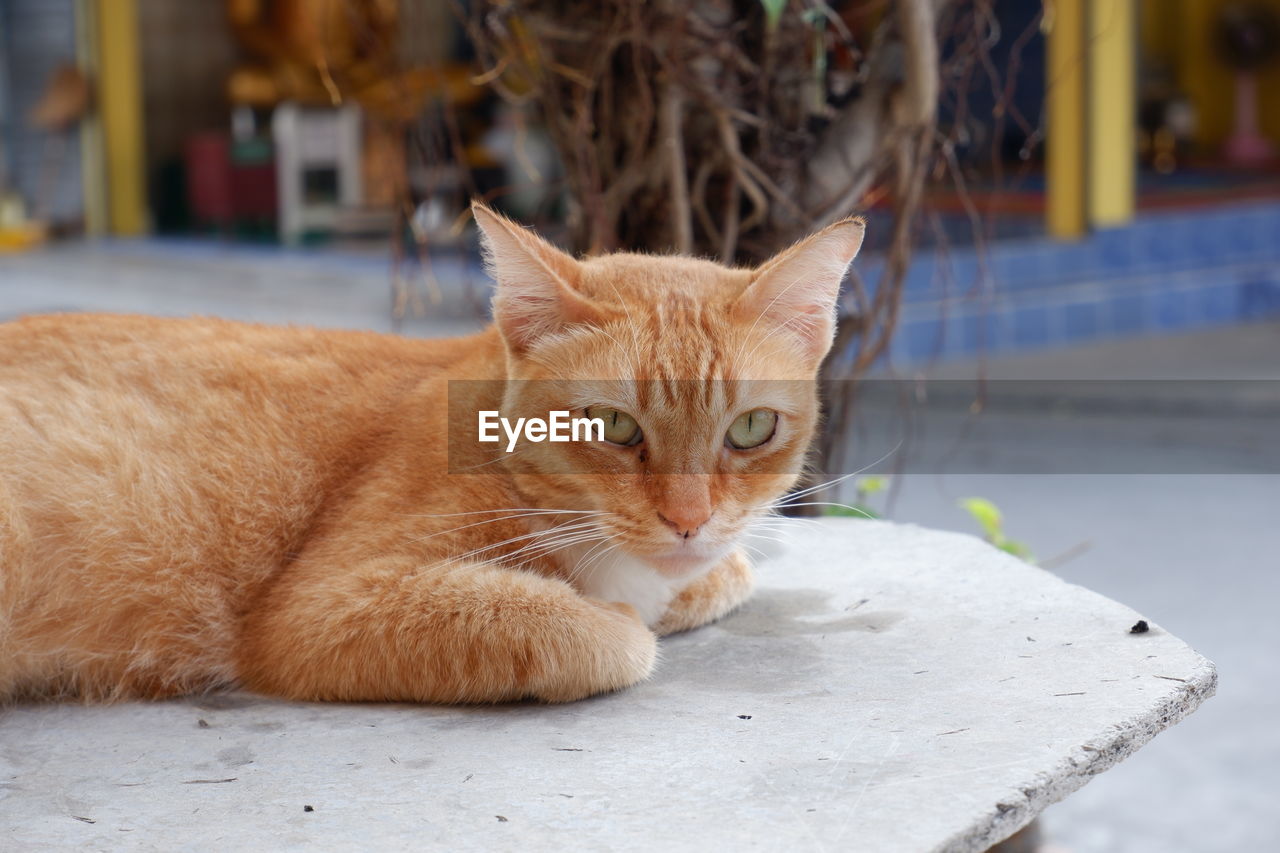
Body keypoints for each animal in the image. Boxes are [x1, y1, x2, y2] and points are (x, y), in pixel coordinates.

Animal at [0, 202, 860, 701]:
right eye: (613, 426)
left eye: (750, 428)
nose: (688, 521)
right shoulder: (320, 609)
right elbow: (602, 632)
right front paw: (611, 612)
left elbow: (727, 571)